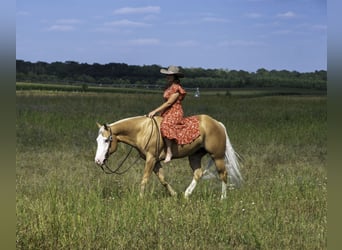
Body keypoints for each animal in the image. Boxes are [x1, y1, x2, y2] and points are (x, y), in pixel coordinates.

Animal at [95, 114, 242, 199]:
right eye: (97, 140)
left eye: (107, 140)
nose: (98, 161)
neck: (142, 130)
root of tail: (218, 124)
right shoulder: (154, 161)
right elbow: (162, 179)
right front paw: (174, 194)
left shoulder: (151, 159)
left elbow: (145, 179)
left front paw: (140, 198)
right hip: (194, 156)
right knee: (198, 173)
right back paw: (186, 195)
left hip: (217, 156)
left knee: (223, 174)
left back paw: (222, 198)